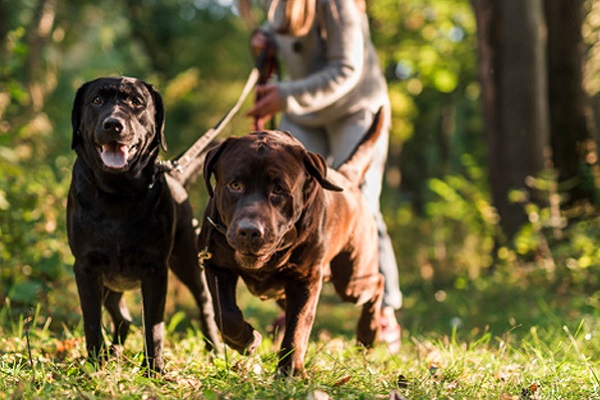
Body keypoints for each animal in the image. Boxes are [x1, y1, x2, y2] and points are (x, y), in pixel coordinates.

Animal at [67, 76, 220, 374]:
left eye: (137, 102)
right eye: (96, 100)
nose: (113, 124)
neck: (116, 195)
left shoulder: (155, 270)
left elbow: (153, 326)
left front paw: (154, 370)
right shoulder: (86, 268)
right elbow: (91, 322)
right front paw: (94, 365)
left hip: (187, 260)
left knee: (205, 304)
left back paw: (215, 350)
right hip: (110, 284)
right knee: (122, 316)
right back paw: (112, 352)